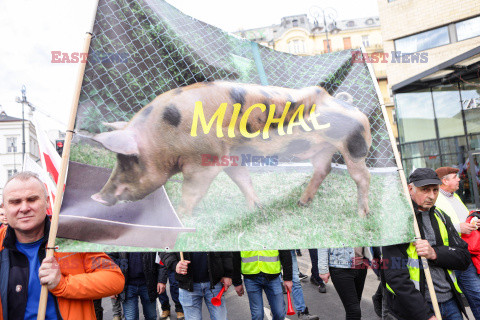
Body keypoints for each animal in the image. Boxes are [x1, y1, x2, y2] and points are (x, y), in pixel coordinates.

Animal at [93, 81, 372, 218]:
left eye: (129, 160)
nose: (96, 197)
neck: (163, 135)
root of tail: (353, 106)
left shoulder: (205, 163)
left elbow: (192, 191)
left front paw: (182, 217)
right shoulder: (230, 156)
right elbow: (243, 180)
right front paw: (256, 209)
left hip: (356, 146)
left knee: (362, 177)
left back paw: (362, 215)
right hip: (323, 149)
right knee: (323, 169)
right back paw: (301, 203)